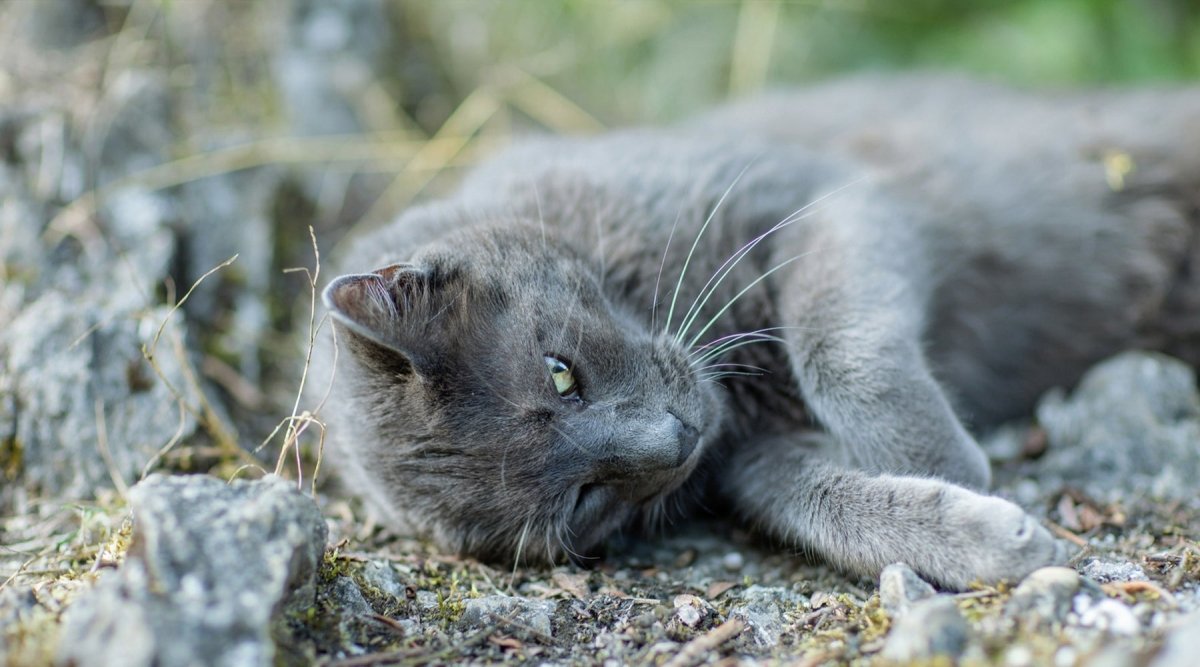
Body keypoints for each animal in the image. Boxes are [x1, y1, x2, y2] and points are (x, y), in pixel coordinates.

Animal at [316, 75, 1200, 592]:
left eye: (560, 371)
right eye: (584, 498)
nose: (673, 440)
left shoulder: (824, 199)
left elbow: (837, 351)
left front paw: (945, 459)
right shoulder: (747, 455)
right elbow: (822, 506)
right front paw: (987, 536)